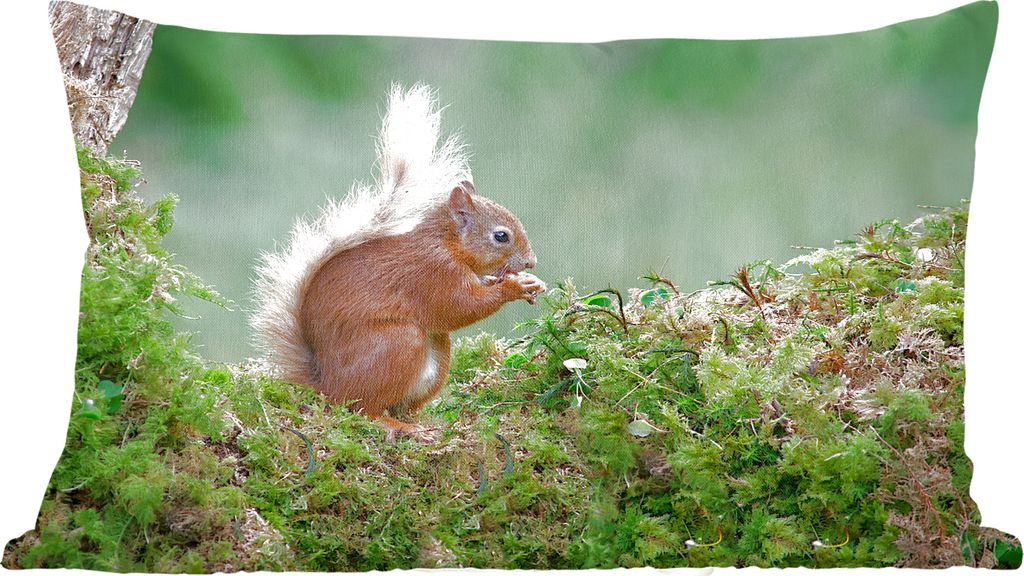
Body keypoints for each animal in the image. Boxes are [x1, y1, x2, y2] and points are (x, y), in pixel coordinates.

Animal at [251, 84, 544, 442]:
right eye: (501, 236)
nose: (531, 262)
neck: (446, 245)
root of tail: (326, 385)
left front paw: (530, 284)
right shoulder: (432, 274)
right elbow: (458, 307)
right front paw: (513, 287)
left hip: (435, 356)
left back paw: (420, 424)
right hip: (398, 344)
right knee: (363, 409)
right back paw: (396, 426)